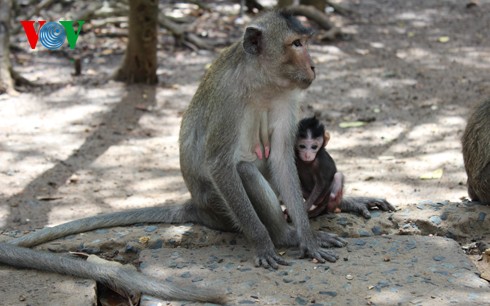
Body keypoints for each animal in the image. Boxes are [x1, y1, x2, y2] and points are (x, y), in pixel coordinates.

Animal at [0, 10, 344, 302]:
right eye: (296, 44)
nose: (313, 66)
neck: (263, 83)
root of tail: (196, 205)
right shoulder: (228, 97)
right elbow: (220, 164)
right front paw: (264, 242)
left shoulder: (288, 98)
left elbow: (284, 161)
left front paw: (308, 238)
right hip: (218, 208)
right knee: (244, 171)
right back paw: (283, 236)